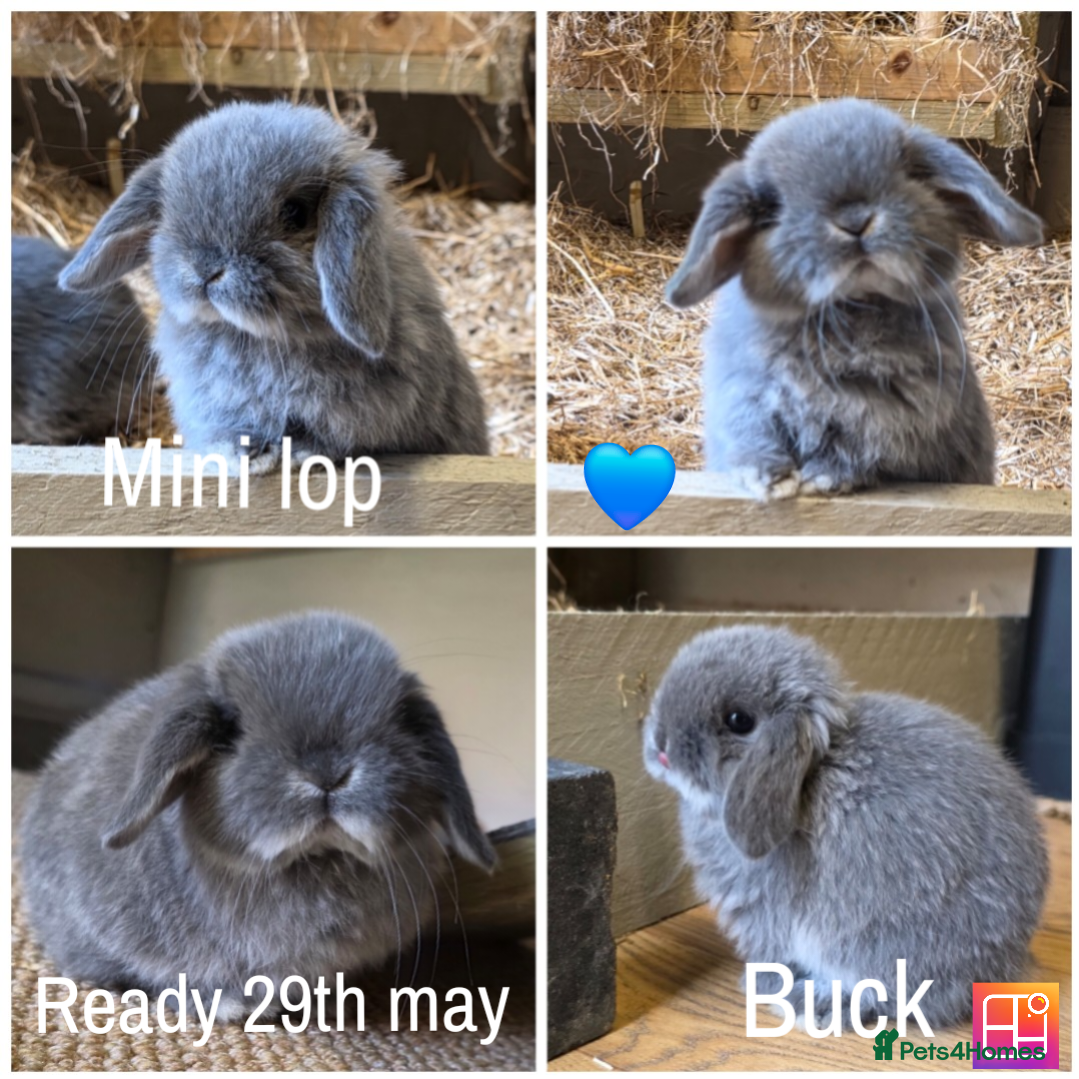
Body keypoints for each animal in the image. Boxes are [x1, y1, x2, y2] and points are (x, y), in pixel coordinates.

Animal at [19, 611, 495, 1021]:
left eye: (399, 720)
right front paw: (228, 1006)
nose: (327, 773)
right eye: (231, 730)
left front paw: (323, 1007)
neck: (313, 861)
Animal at [56, 102, 489, 473]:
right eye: (168, 211)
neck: (258, 337)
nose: (205, 270)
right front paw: (244, 455)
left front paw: (295, 453)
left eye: (295, 213)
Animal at [642, 624, 1048, 1031]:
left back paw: (810, 1004)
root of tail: (997, 968)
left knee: (884, 997)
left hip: (872, 942)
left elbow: (776, 954)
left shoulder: (766, 912)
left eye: (739, 720)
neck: (810, 773)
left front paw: (759, 982)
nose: (661, 744)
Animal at [665, 98, 1044, 499]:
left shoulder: (891, 417)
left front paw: (821, 479)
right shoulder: (745, 397)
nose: (855, 221)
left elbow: (858, 448)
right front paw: (771, 480)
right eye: (771, 207)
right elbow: (752, 437)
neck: (852, 306)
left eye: (908, 173)